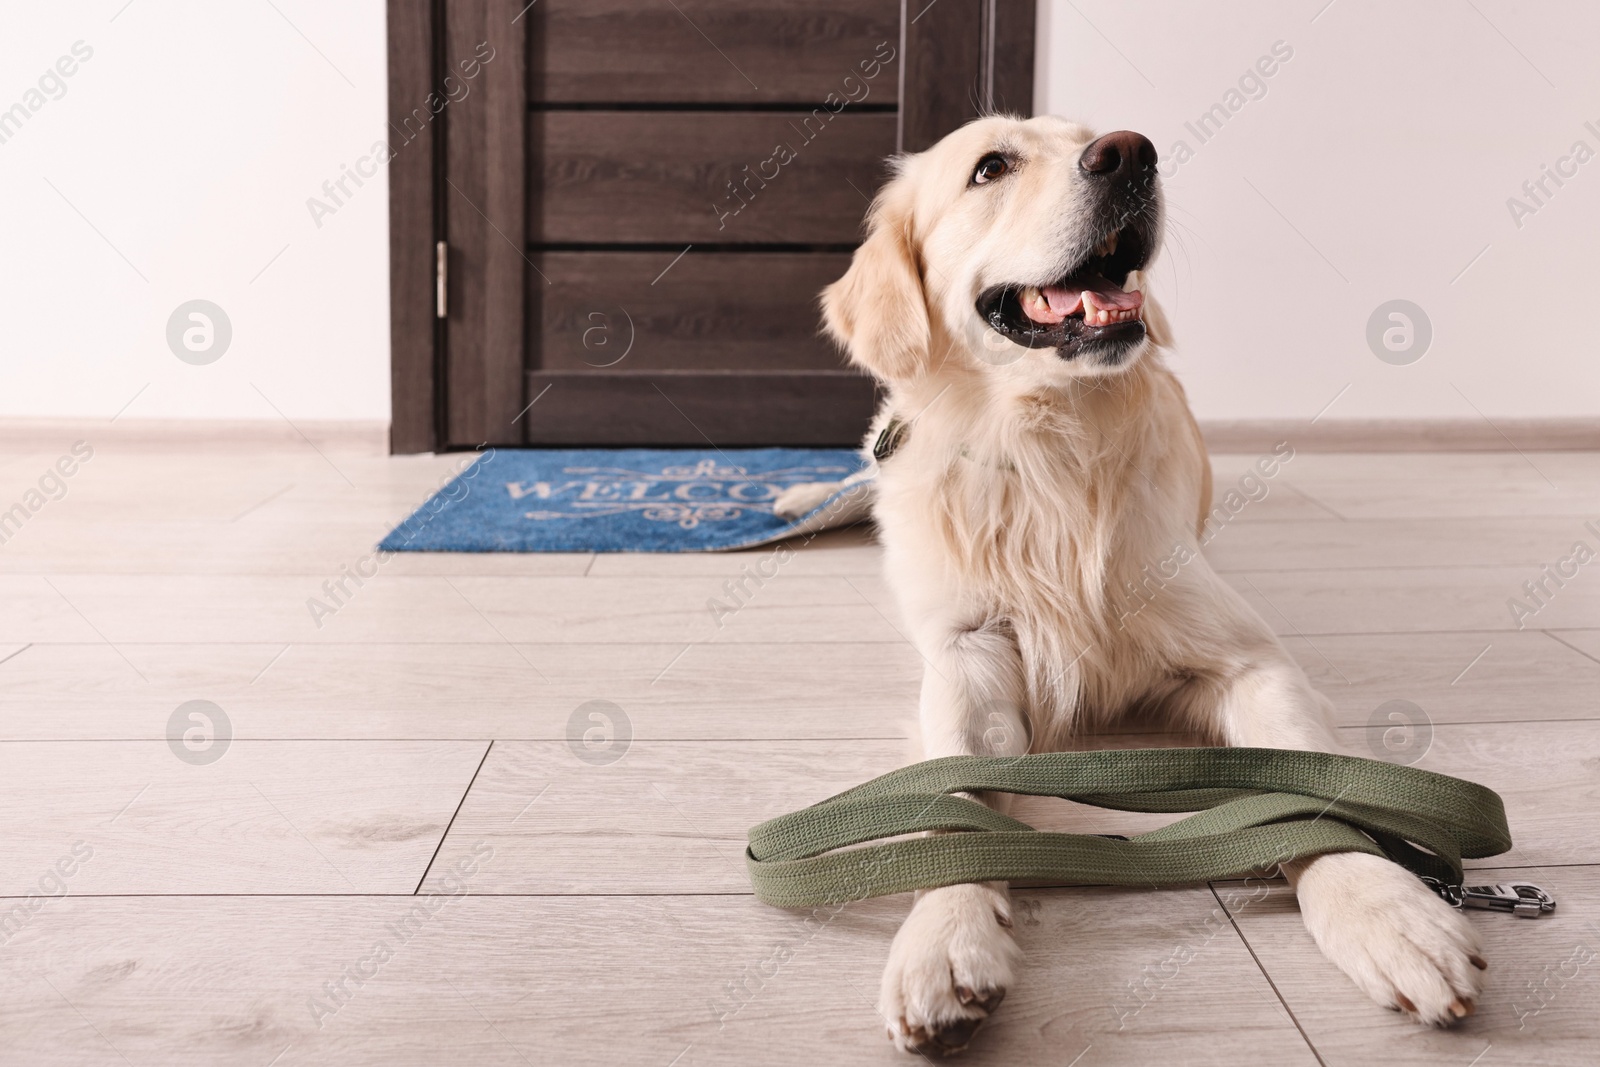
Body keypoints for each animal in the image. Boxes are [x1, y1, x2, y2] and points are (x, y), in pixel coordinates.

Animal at [784, 120, 1484, 1055]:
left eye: (1097, 137)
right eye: (990, 167)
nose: (1130, 154)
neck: (1047, 447)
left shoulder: (1251, 660)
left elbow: (1310, 785)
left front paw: (1389, 912)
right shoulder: (968, 652)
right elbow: (955, 796)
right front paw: (944, 936)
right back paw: (800, 501)